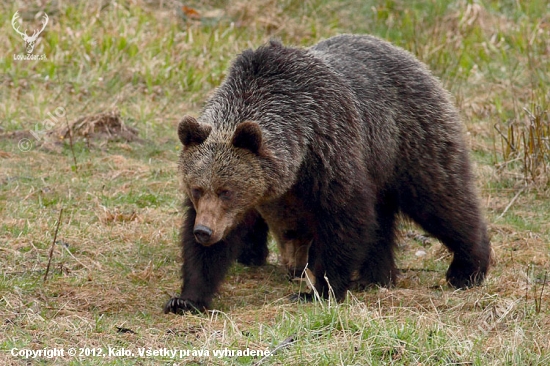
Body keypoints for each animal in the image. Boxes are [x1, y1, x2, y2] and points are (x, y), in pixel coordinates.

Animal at [163, 35, 492, 314]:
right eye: (197, 189)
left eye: (226, 191)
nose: (205, 232)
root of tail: (407, 55)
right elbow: (206, 251)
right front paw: (187, 298)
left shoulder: (330, 152)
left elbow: (346, 220)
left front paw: (320, 290)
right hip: (379, 164)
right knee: (384, 220)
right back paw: (375, 276)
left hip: (409, 141)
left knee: (440, 199)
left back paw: (467, 268)